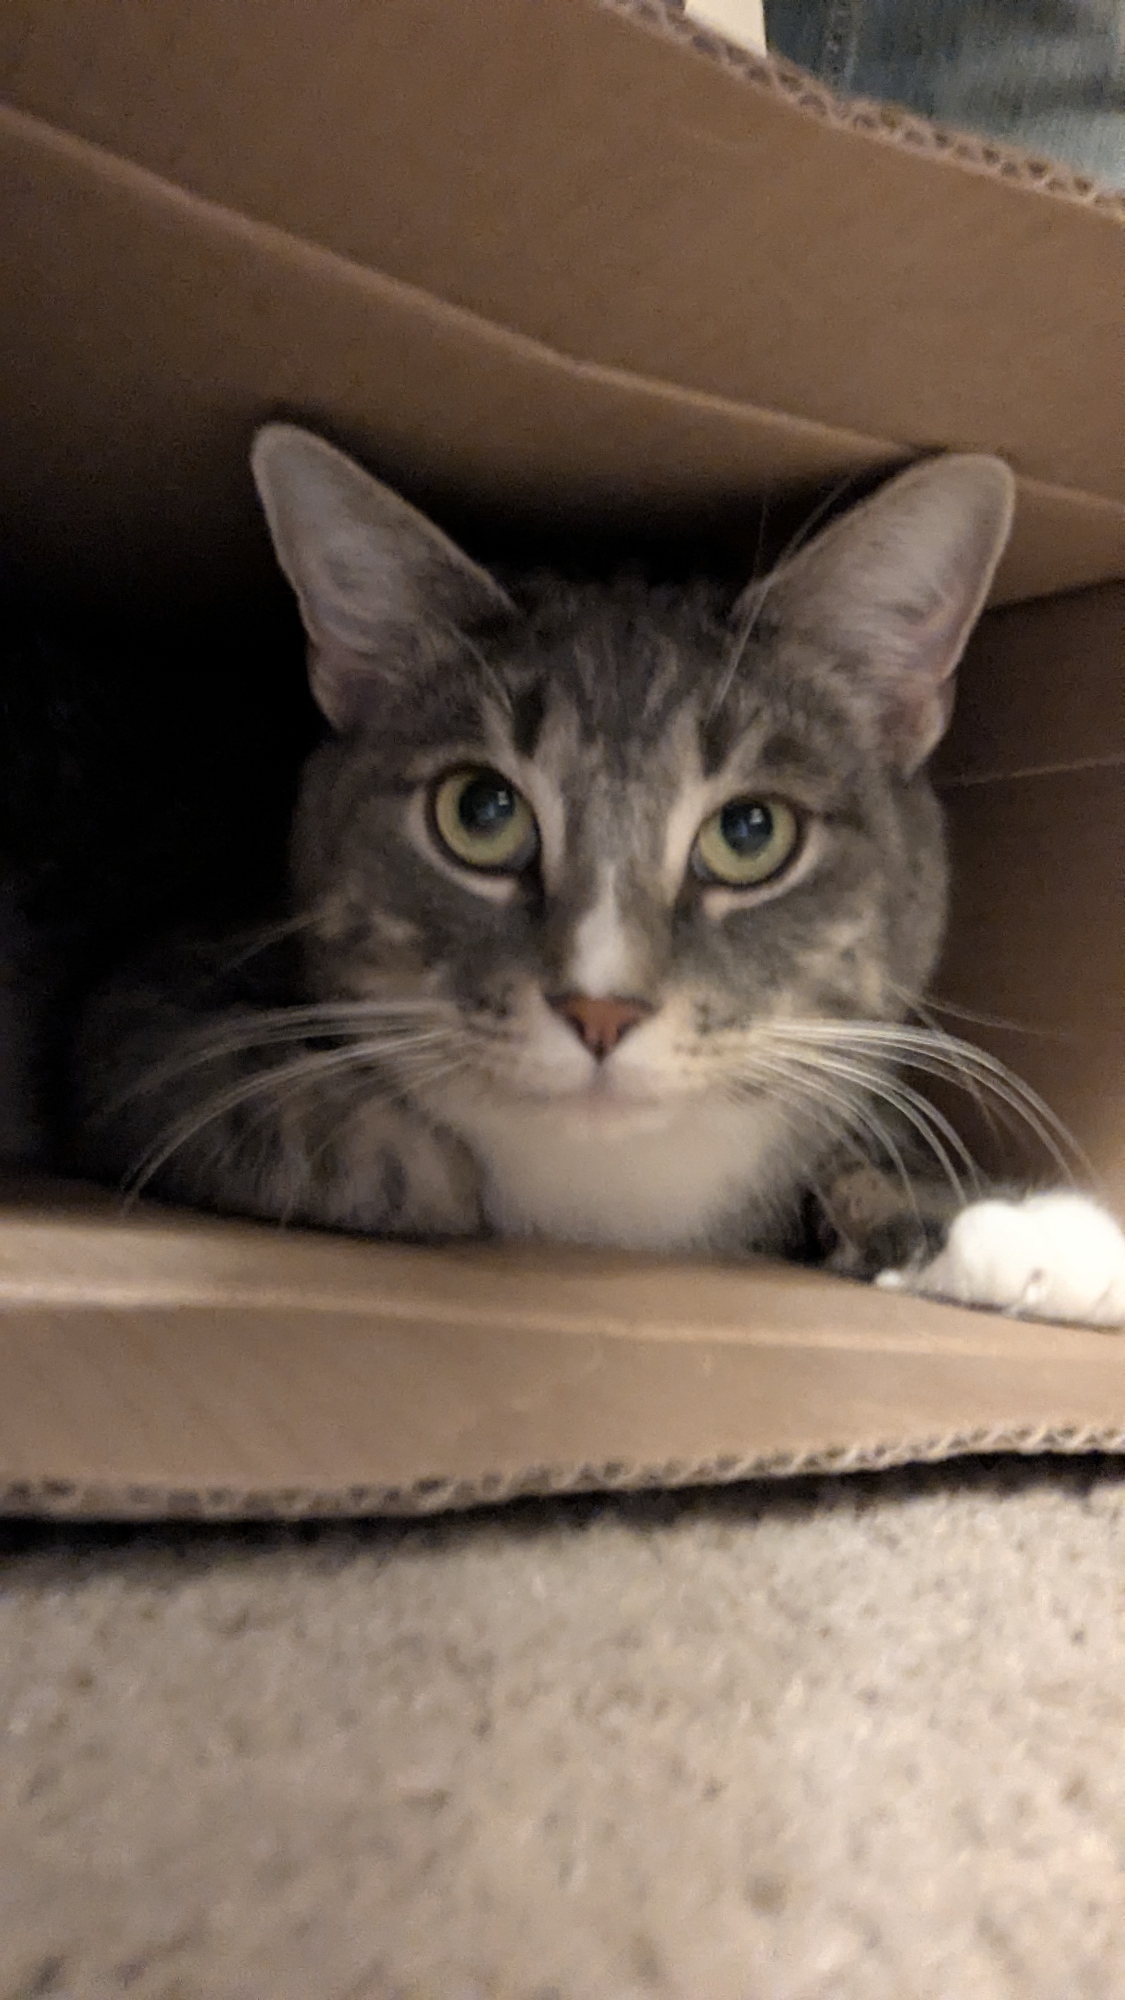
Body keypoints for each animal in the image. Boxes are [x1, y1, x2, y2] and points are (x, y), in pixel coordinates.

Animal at [68, 427, 1125, 1328]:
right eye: (480, 812)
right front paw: (441, 1174)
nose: (601, 1009)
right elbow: (341, 1135)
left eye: (750, 831)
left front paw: (1020, 1232)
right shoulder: (152, 1004)